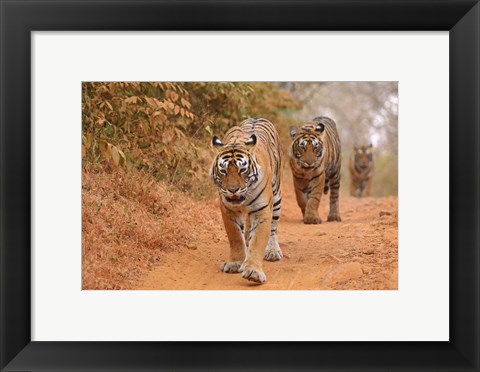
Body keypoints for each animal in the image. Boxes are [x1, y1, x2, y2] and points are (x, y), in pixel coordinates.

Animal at [209, 117, 284, 284]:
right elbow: (236, 237)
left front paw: (253, 271)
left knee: (273, 228)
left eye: (242, 169)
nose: (233, 190)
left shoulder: (262, 210)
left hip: (276, 196)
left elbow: (258, 241)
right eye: (223, 170)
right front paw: (235, 263)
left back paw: (272, 251)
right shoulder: (228, 210)